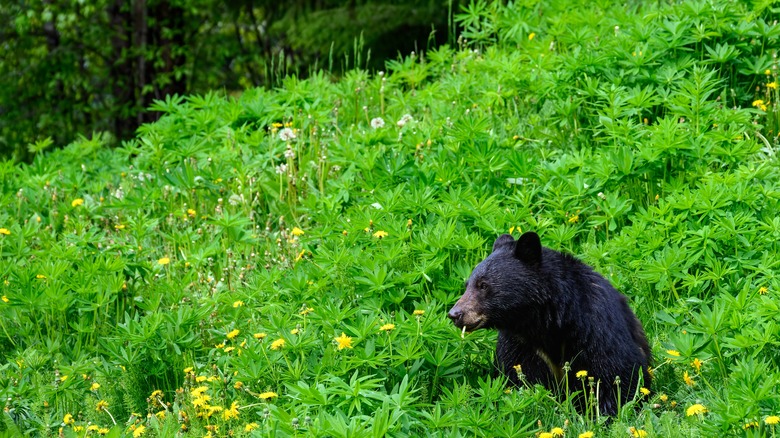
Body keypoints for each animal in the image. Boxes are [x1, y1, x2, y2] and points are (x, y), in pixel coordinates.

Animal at [448, 231, 648, 416]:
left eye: (483, 285)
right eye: (467, 285)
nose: (455, 314)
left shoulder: (596, 328)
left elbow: (614, 372)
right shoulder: (521, 343)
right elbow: (520, 376)